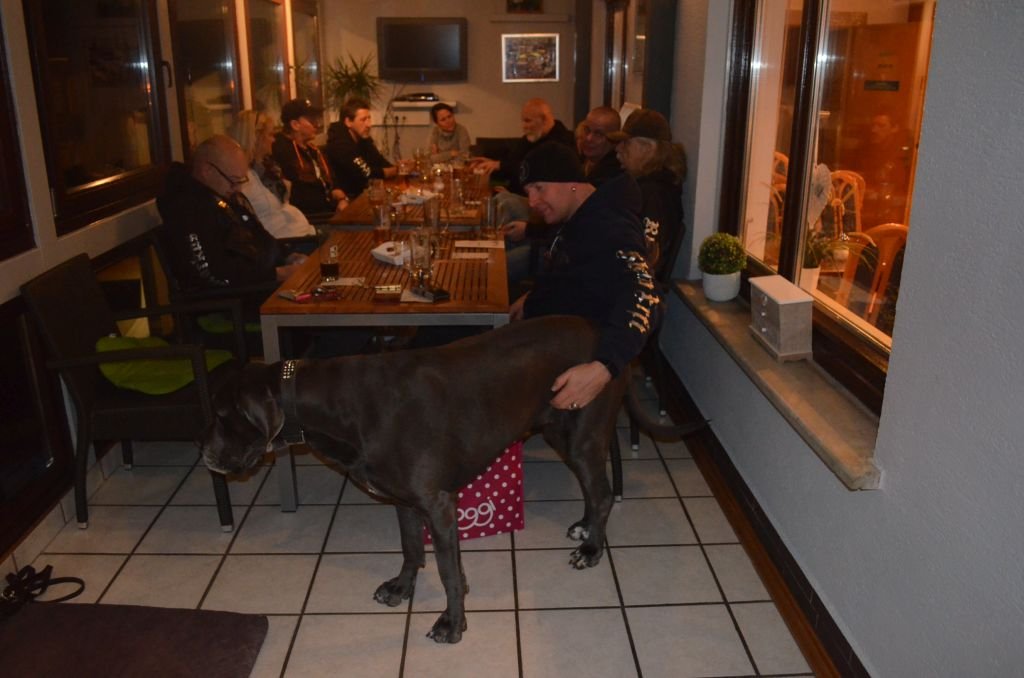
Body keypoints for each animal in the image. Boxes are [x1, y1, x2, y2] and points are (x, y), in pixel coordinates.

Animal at [199, 315, 691, 643]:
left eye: (223, 417)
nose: (205, 457)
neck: (341, 406)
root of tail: (608, 338)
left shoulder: (438, 505)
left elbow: (448, 571)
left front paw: (453, 623)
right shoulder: (403, 500)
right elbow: (412, 549)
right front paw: (402, 587)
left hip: (583, 436)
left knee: (604, 493)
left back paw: (591, 548)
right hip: (558, 428)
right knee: (595, 494)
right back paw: (586, 528)